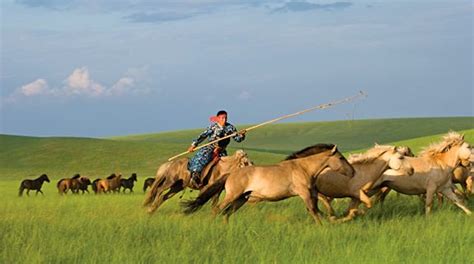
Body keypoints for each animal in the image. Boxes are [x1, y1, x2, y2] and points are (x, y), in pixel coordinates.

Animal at [183, 143, 354, 224]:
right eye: (341, 158)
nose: (353, 172)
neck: (302, 168)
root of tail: (231, 173)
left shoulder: (311, 193)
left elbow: (316, 209)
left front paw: (331, 219)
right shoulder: (304, 193)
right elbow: (313, 210)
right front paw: (323, 225)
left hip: (241, 199)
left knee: (227, 212)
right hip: (233, 195)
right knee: (217, 209)